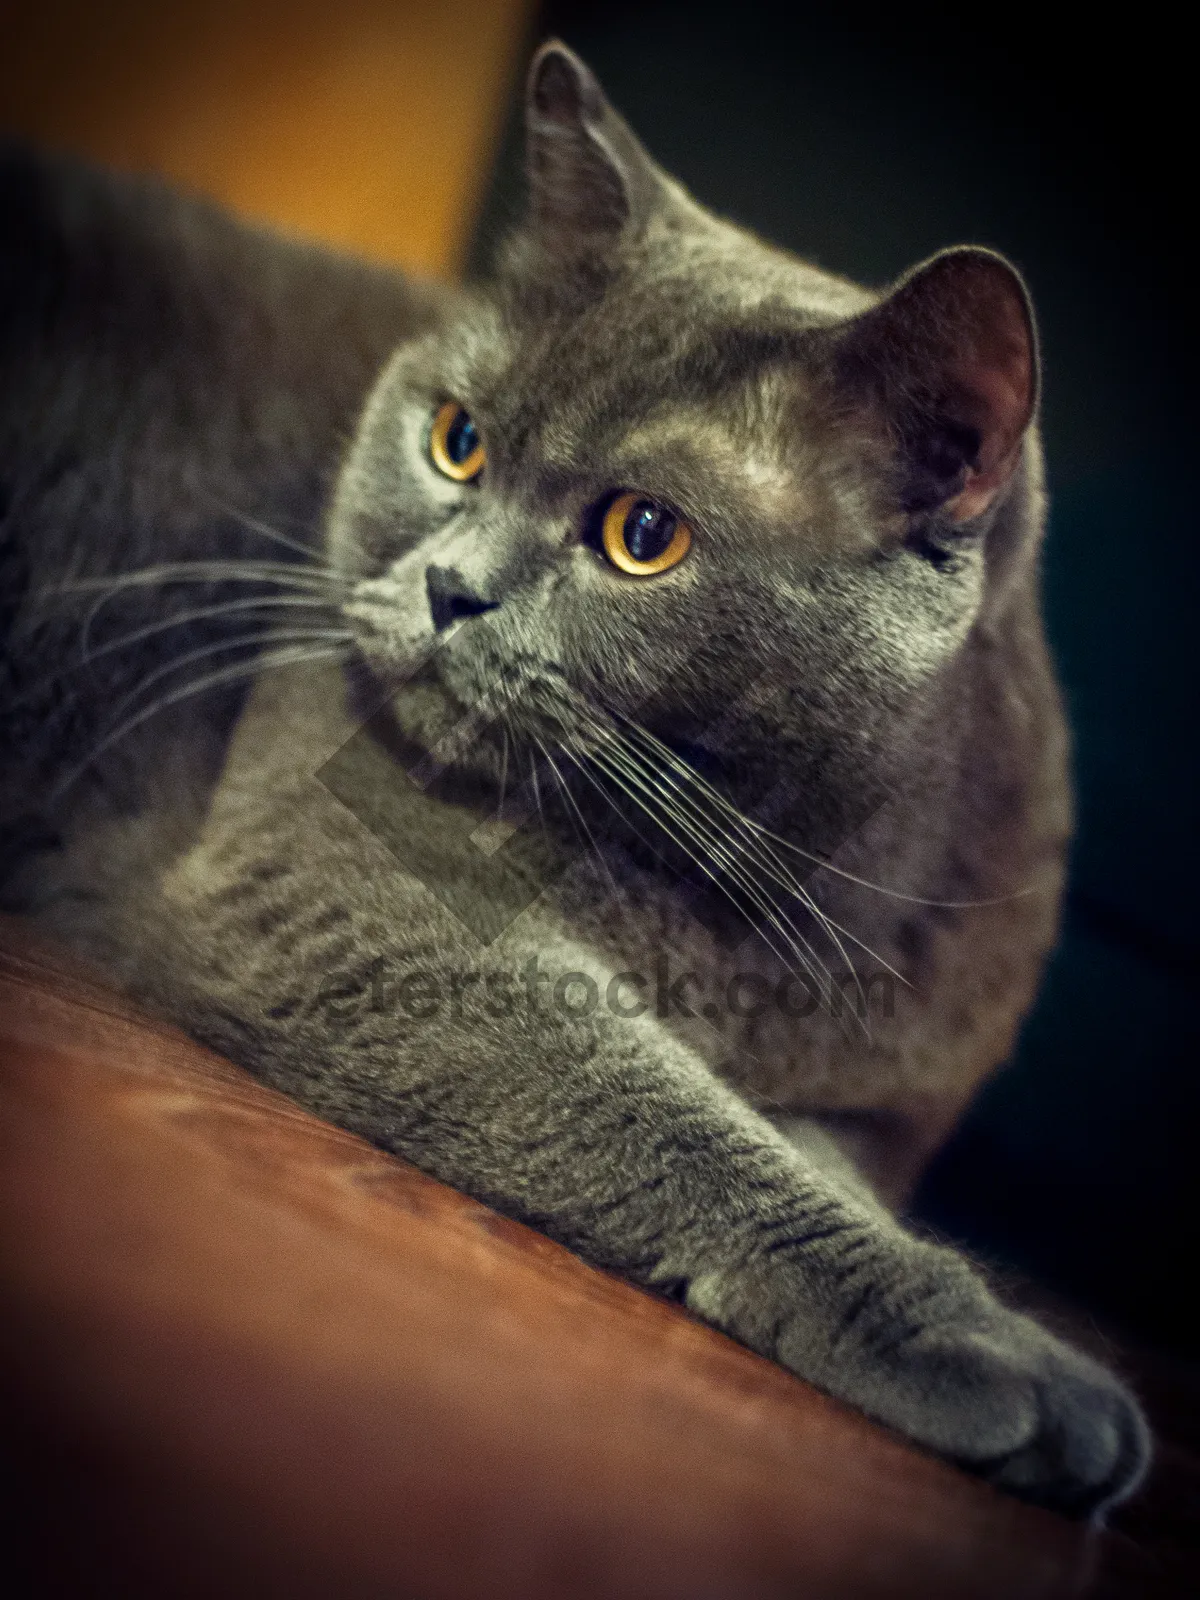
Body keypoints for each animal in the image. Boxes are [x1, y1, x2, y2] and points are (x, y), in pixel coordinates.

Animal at [2, 40, 1158, 1510]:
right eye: (457, 440)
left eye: (642, 535)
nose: (449, 587)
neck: (760, 884)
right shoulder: (336, 887)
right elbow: (652, 1106)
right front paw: (1002, 1359)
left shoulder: (859, 1104)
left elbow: (799, 1154)